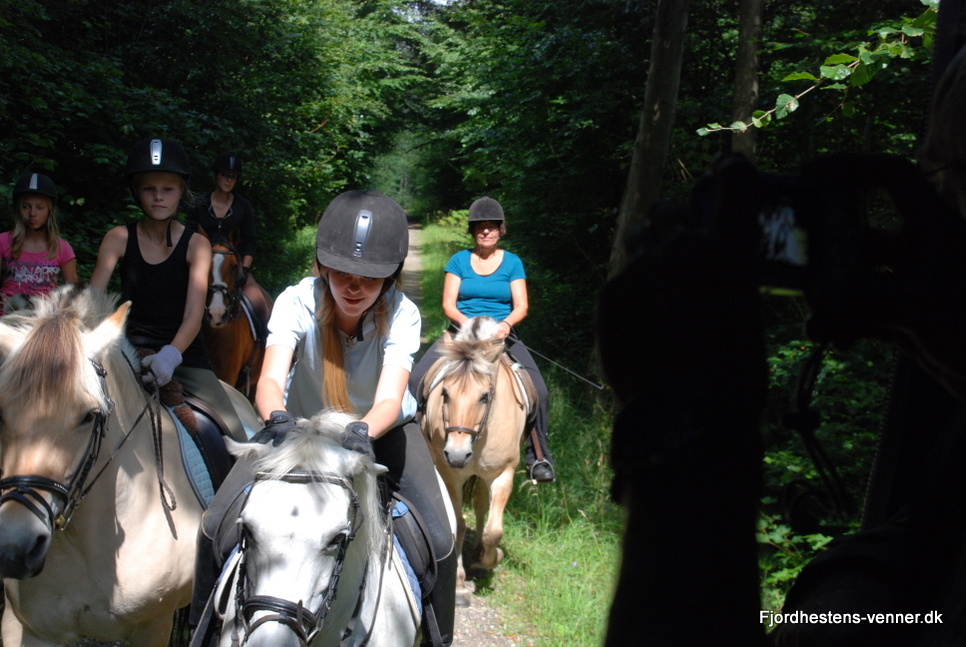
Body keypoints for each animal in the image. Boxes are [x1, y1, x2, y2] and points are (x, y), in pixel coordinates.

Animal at [420, 318, 532, 608]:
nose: (458, 455)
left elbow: (494, 531)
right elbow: (457, 524)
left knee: (482, 506)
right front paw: (459, 584)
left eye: (484, 396)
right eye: (445, 393)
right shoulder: (450, 475)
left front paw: (489, 560)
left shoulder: (504, 474)